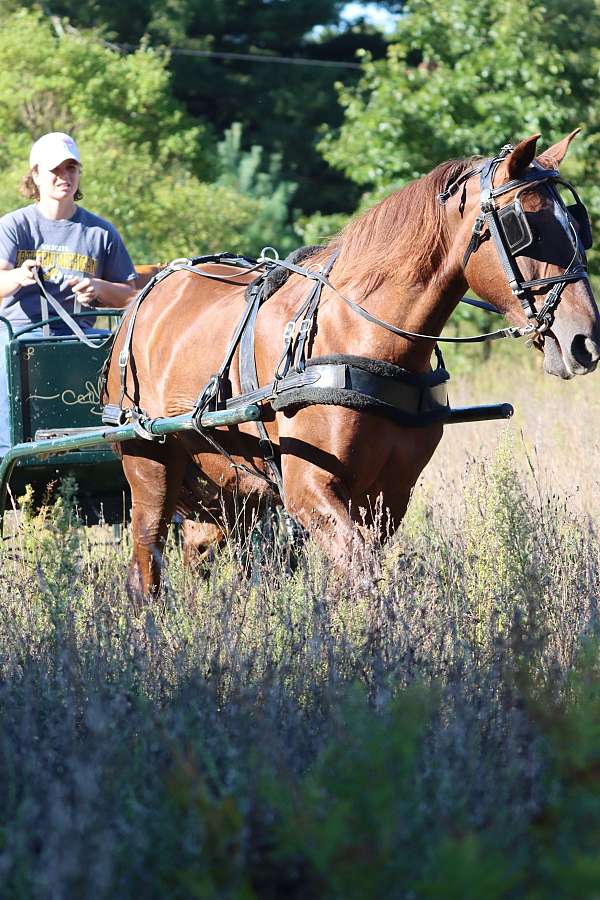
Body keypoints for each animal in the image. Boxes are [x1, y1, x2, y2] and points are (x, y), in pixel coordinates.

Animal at [104, 134, 600, 596]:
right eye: (525, 228)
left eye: (578, 226)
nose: (585, 342)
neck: (365, 338)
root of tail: (142, 299)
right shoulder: (309, 490)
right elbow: (364, 578)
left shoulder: (389, 496)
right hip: (151, 471)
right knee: (145, 569)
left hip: (230, 488)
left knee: (201, 556)